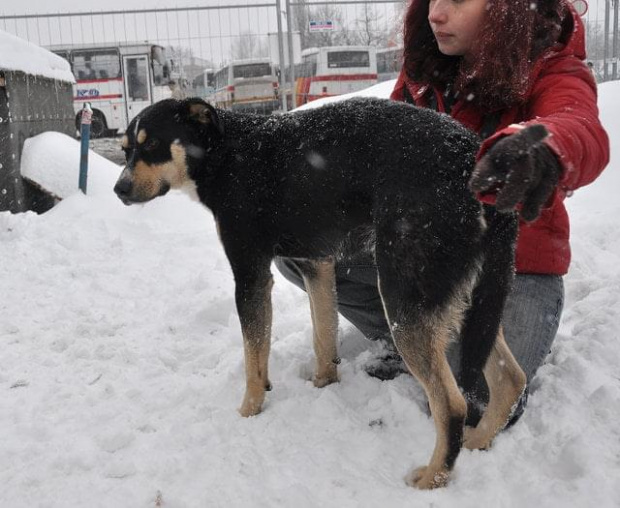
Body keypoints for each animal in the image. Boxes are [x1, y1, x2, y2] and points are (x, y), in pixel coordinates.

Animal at [114, 96, 524, 488]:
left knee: (452, 405)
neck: (226, 154)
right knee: (510, 379)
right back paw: (477, 441)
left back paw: (432, 478)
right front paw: (322, 385)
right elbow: (323, 336)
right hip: (472, 302)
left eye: (152, 145)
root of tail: (473, 159)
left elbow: (253, 358)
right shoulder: (317, 264)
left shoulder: (250, 273)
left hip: (404, 297)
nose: (119, 189)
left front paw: (248, 412)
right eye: (125, 150)